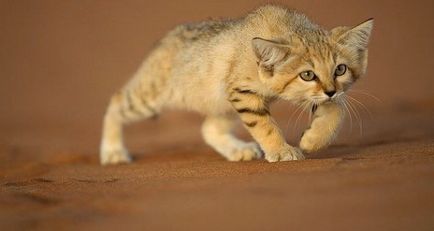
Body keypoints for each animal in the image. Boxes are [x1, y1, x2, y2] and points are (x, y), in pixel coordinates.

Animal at [99, 4, 372, 165]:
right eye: (307, 75)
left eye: (340, 69)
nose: (330, 90)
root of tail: (163, 40)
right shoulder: (244, 93)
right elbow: (265, 125)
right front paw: (282, 150)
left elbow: (337, 110)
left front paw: (313, 139)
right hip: (152, 97)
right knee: (115, 101)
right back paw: (112, 151)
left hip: (222, 103)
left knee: (208, 128)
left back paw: (237, 150)